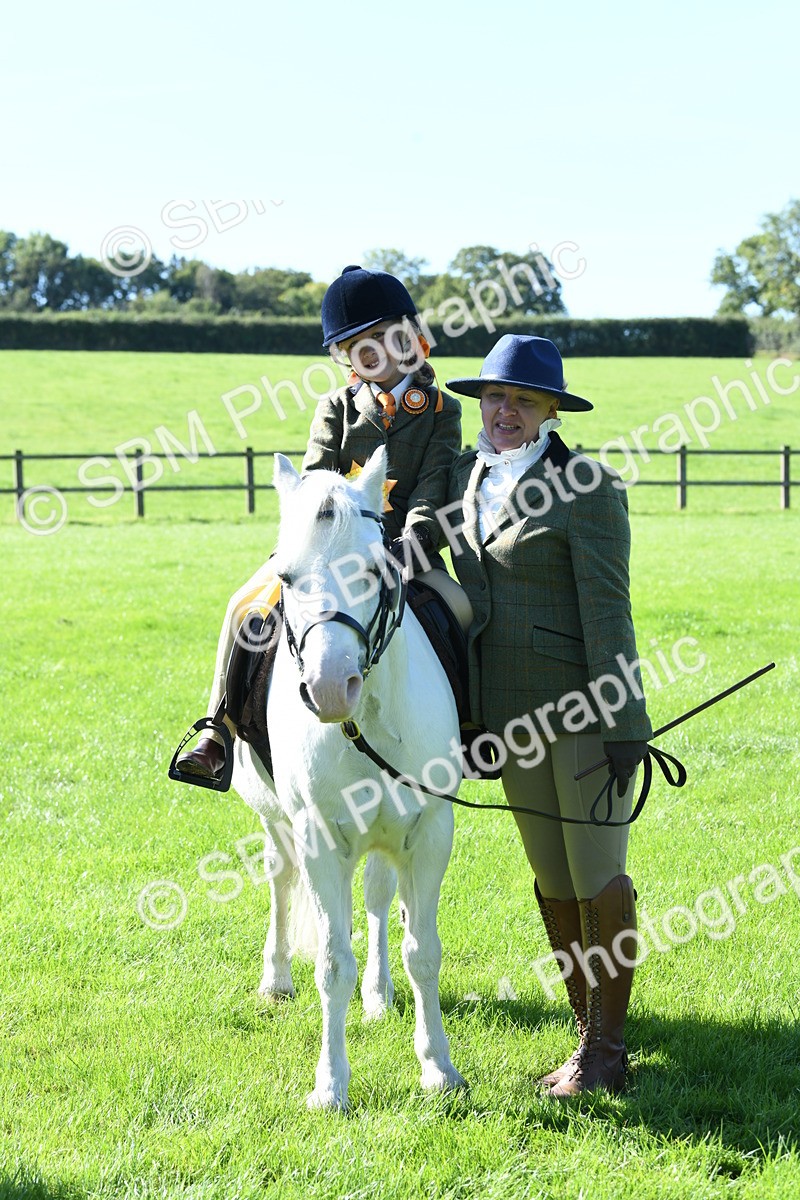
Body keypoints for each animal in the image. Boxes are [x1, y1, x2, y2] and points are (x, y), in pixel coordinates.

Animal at [231, 446, 467, 1111]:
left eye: (374, 569)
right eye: (287, 577)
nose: (331, 688)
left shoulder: (429, 833)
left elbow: (423, 951)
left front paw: (438, 1068)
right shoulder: (318, 838)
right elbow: (333, 962)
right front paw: (331, 1084)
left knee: (381, 900)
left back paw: (380, 995)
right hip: (276, 822)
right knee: (281, 883)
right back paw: (276, 977)